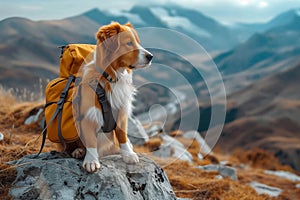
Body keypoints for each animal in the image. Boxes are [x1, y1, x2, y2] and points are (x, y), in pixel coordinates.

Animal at [69, 21, 152, 172]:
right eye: (129, 43)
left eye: (138, 42)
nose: (151, 56)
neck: (111, 78)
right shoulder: (88, 115)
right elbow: (90, 140)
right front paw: (91, 160)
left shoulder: (122, 111)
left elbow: (122, 135)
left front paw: (128, 154)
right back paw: (78, 151)